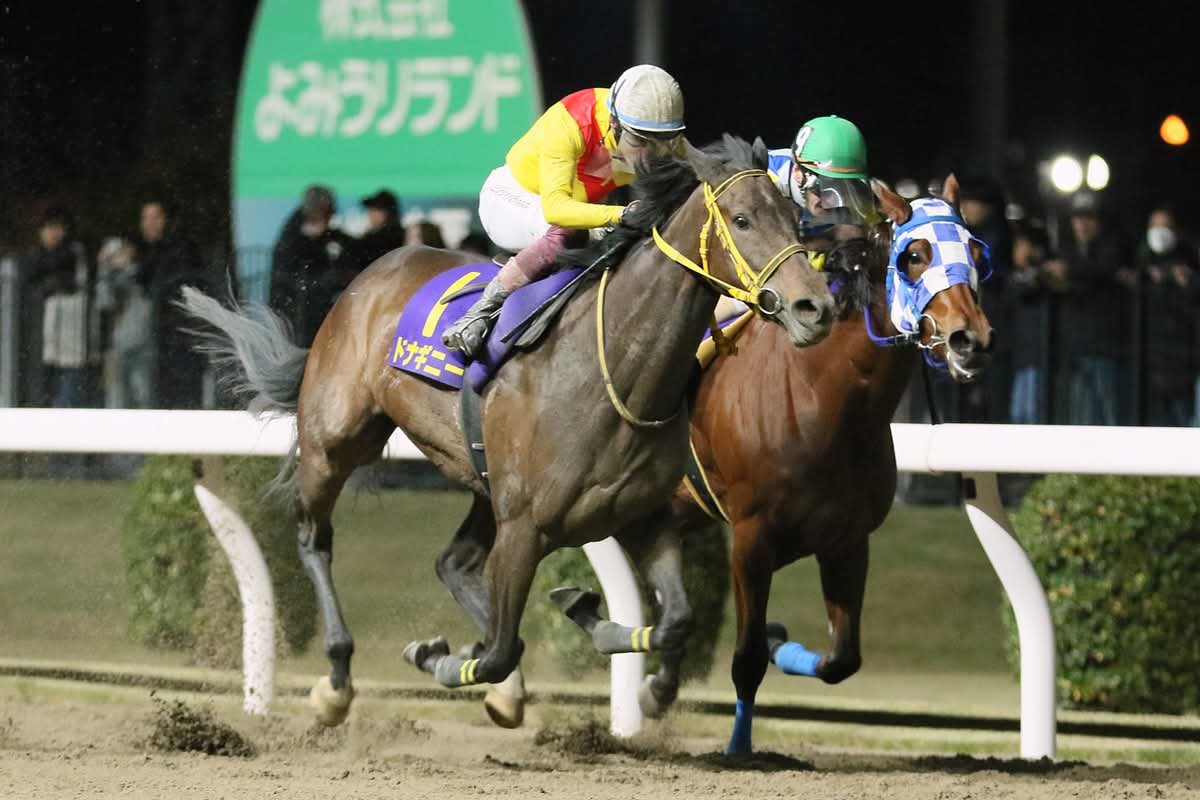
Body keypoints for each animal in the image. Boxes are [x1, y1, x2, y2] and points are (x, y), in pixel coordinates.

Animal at [180, 135, 835, 728]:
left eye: (796, 220)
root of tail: (377, 269)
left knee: (453, 565)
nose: (816, 308)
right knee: (315, 538)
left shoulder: (643, 519)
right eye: (743, 219)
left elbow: (673, 621)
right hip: (336, 441)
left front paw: (588, 619)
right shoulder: (524, 528)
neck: (613, 369)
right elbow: (495, 651)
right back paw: (337, 680)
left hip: (482, 479)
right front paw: (441, 657)